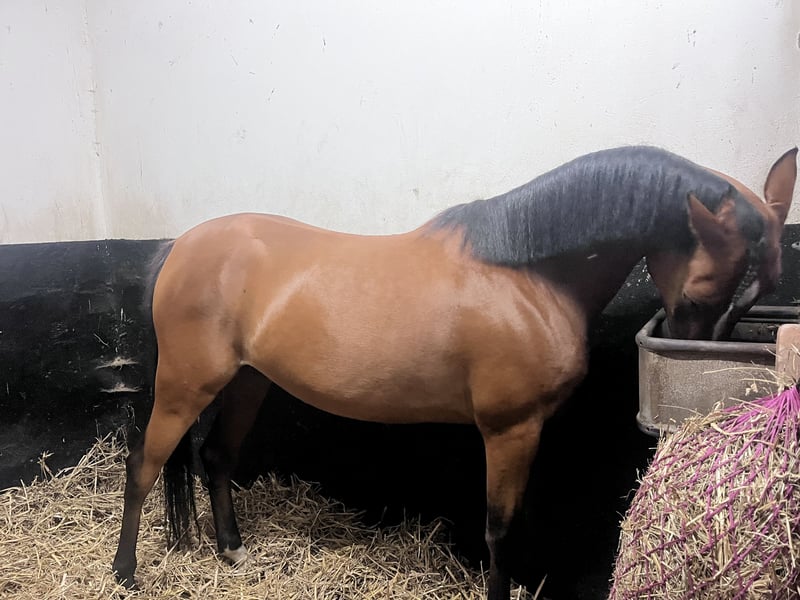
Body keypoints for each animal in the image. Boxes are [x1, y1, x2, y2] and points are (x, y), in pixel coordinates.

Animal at [112, 145, 796, 599]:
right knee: (143, 464)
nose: (691, 366)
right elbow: (499, 529)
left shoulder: (525, 433)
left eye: (759, 294)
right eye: (706, 290)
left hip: (248, 381)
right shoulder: (508, 429)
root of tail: (179, 246)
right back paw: (124, 572)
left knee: (217, 458)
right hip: (184, 386)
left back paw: (232, 551)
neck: (528, 275)